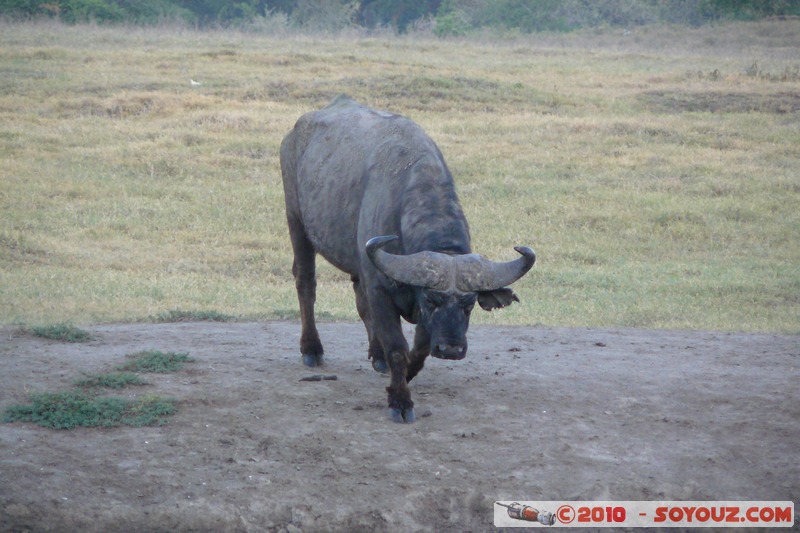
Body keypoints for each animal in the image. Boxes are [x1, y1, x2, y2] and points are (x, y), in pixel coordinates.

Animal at [278, 93, 536, 422]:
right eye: (431, 300)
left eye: (469, 304)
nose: (452, 350)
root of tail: (296, 131)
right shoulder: (381, 290)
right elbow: (398, 347)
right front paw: (400, 400)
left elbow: (420, 348)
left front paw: (405, 374)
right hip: (296, 221)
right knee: (306, 283)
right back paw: (311, 348)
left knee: (359, 298)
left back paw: (376, 355)